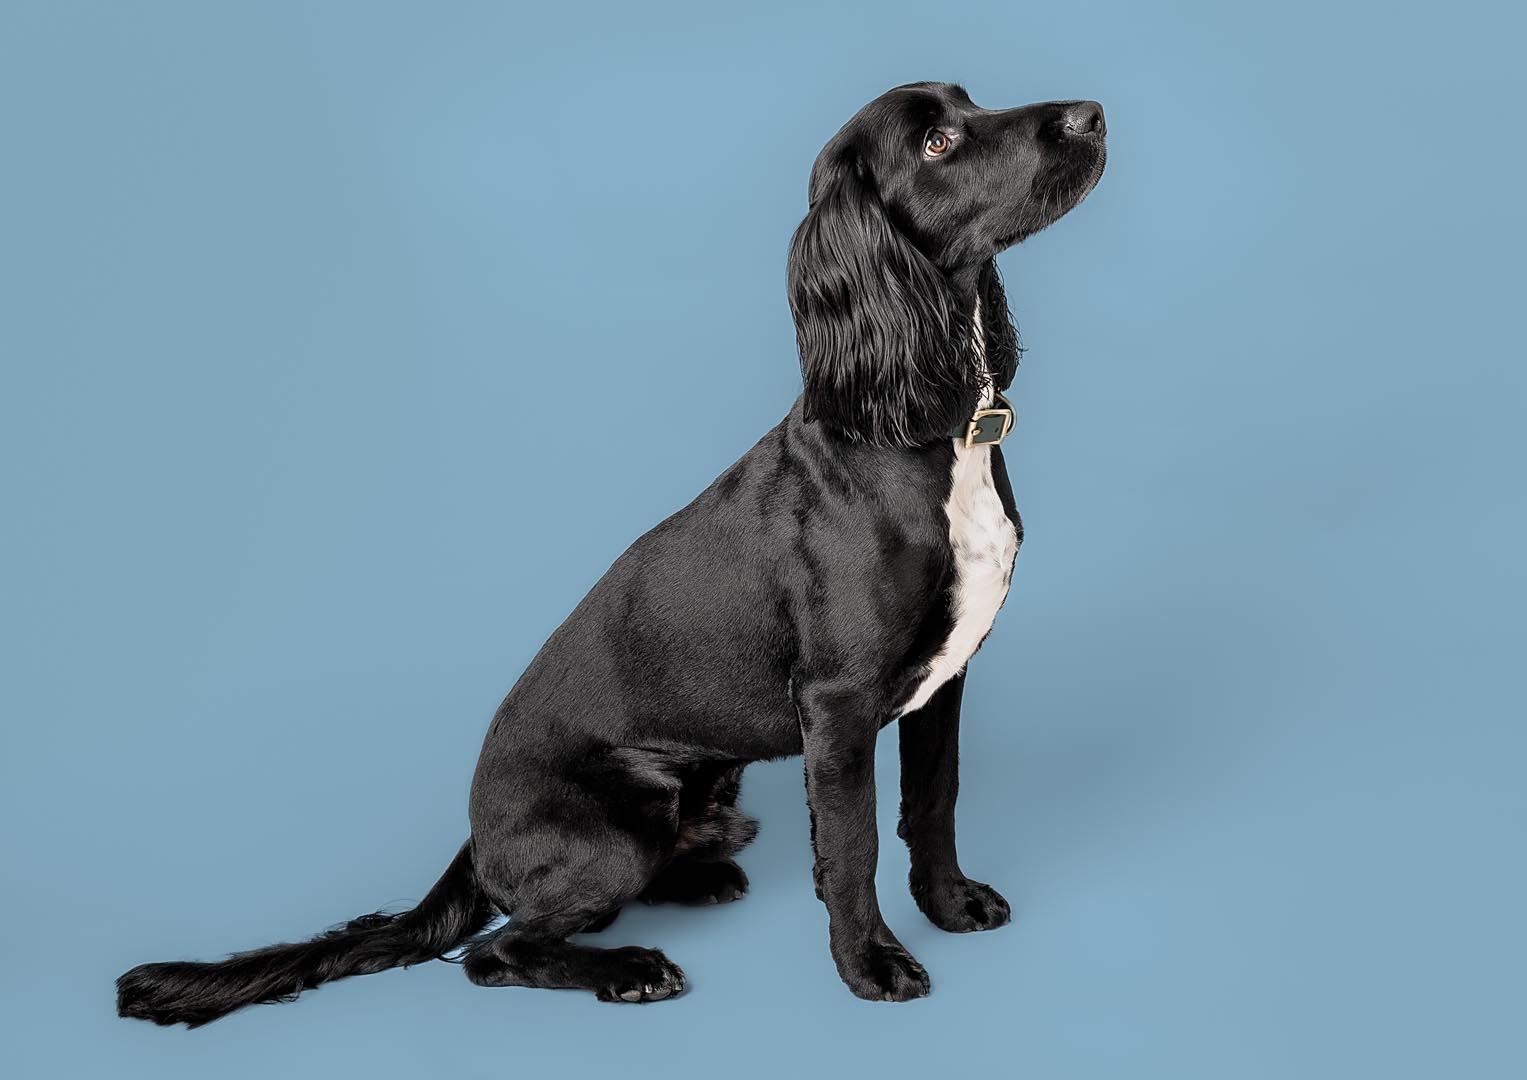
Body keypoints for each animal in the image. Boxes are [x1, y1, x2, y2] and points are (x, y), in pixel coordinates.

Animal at [116, 82, 1099, 1020]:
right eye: (936, 142)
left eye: (969, 103)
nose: (1089, 115)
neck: (927, 431)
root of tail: (474, 840)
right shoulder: (840, 700)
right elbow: (851, 846)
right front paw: (872, 964)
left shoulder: (947, 676)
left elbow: (933, 802)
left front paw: (949, 906)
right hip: (620, 822)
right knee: (498, 951)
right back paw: (629, 969)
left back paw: (703, 879)